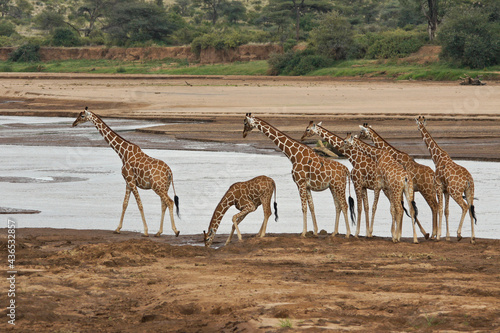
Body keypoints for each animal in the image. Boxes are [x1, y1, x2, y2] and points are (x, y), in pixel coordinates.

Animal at [70, 106, 180, 236]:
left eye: (82, 116)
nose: (74, 123)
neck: (123, 153)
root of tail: (170, 171)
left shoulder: (131, 180)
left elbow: (139, 205)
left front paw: (145, 231)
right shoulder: (128, 182)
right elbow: (125, 204)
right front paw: (117, 228)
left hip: (157, 186)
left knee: (170, 202)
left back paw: (176, 231)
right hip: (164, 186)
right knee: (164, 204)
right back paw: (159, 232)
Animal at [414, 115, 476, 243]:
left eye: (417, 122)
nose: (417, 128)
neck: (437, 158)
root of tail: (468, 179)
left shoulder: (438, 186)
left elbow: (440, 209)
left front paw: (438, 236)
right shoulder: (445, 190)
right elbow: (447, 211)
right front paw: (447, 236)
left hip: (455, 192)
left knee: (465, 207)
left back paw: (459, 234)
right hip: (469, 191)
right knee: (471, 209)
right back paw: (472, 238)